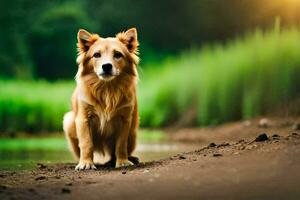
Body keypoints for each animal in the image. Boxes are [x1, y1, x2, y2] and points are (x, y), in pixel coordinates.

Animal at [63, 27, 139, 170]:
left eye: (118, 55)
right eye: (97, 55)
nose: (107, 66)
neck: (107, 90)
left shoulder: (125, 120)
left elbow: (121, 144)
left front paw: (122, 161)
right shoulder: (83, 119)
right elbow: (87, 143)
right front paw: (86, 163)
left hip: (133, 130)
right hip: (69, 121)